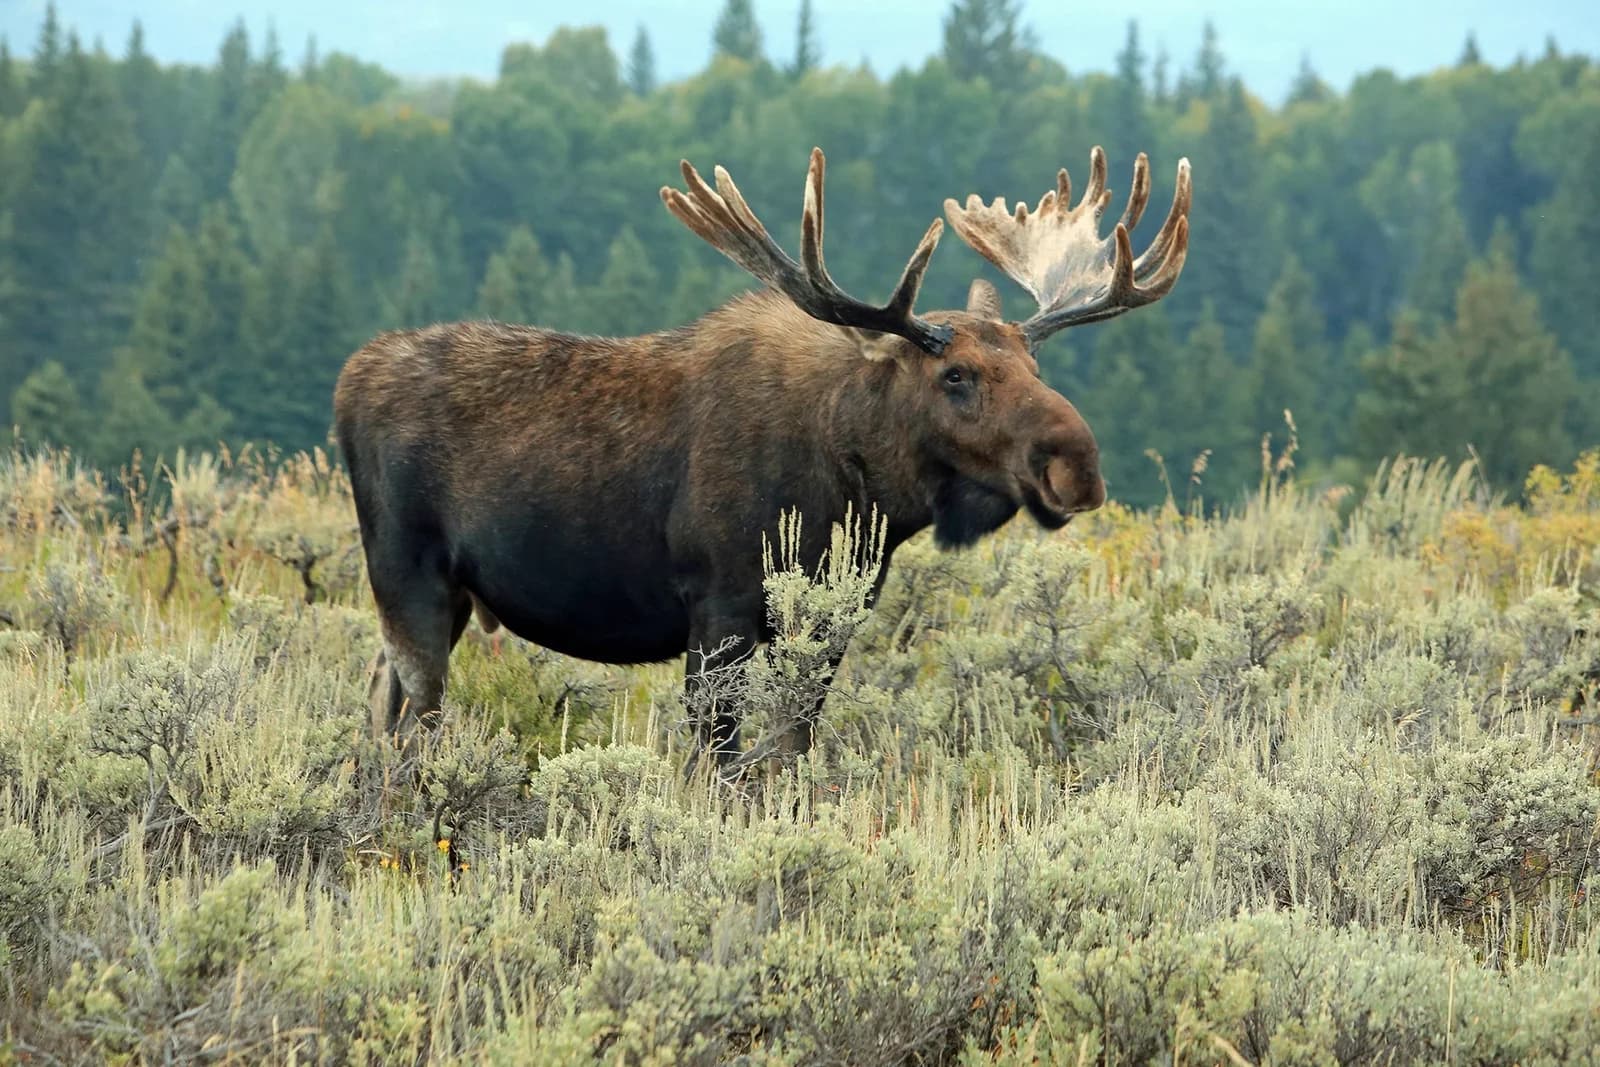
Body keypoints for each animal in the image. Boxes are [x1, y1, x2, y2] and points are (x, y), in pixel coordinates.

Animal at [333, 144, 1191, 771]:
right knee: (414, 711)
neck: (858, 492)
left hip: (448, 596)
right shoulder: (719, 599)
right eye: (956, 375)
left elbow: (789, 751)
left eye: (1034, 365)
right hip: (406, 571)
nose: (1076, 464)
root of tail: (348, 378)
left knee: (382, 696)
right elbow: (719, 758)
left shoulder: (832, 615)